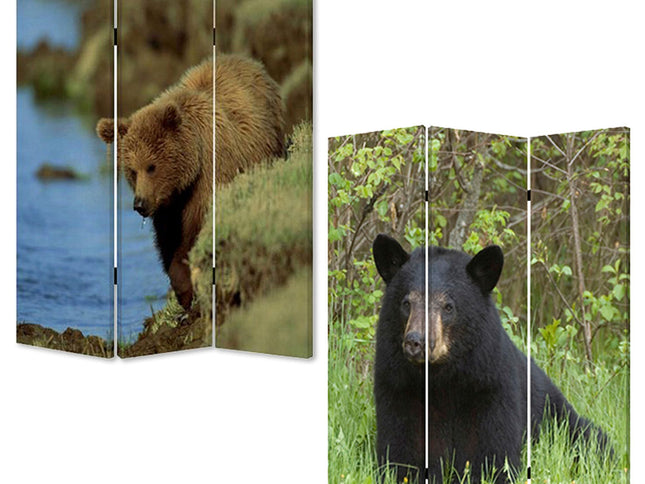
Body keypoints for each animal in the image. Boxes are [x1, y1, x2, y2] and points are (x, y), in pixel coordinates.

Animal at [96, 55, 285, 310]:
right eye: (132, 171)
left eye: (151, 166)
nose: (140, 204)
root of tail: (251, 63)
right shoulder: (167, 207)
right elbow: (168, 241)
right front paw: (183, 291)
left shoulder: (209, 178)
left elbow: (195, 231)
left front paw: (189, 289)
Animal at [372, 234, 609, 484]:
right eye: (406, 303)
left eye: (448, 306)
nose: (415, 342)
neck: (442, 377)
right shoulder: (398, 385)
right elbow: (402, 446)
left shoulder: (489, 384)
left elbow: (493, 450)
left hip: (561, 420)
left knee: (592, 441)